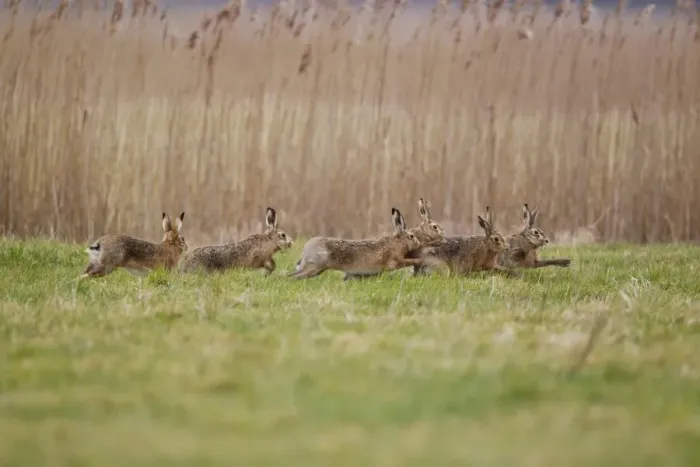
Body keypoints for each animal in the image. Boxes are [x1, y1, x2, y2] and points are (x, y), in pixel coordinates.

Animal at [290, 207, 422, 280]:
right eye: (411, 236)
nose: (419, 243)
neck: (399, 241)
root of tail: (306, 248)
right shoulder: (395, 260)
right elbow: (407, 262)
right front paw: (419, 260)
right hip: (314, 267)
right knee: (295, 275)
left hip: (316, 269)